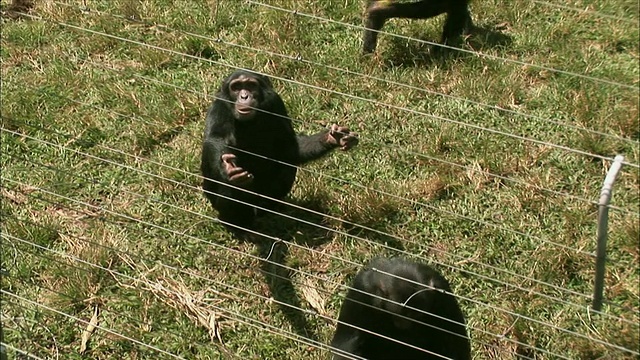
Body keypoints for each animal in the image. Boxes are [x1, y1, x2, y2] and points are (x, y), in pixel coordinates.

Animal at [200, 69, 358, 229]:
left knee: (286, 166)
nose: (244, 96)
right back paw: (240, 225)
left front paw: (332, 137)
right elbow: (216, 138)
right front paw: (228, 167)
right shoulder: (219, 106)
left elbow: (289, 147)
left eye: (251, 86)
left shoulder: (276, 104)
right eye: (236, 87)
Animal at [330, 258, 470, 360]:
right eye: (400, 315)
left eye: (415, 315)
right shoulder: (361, 289)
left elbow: (454, 346)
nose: (405, 323)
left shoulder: (444, 295)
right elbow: (346, 343)